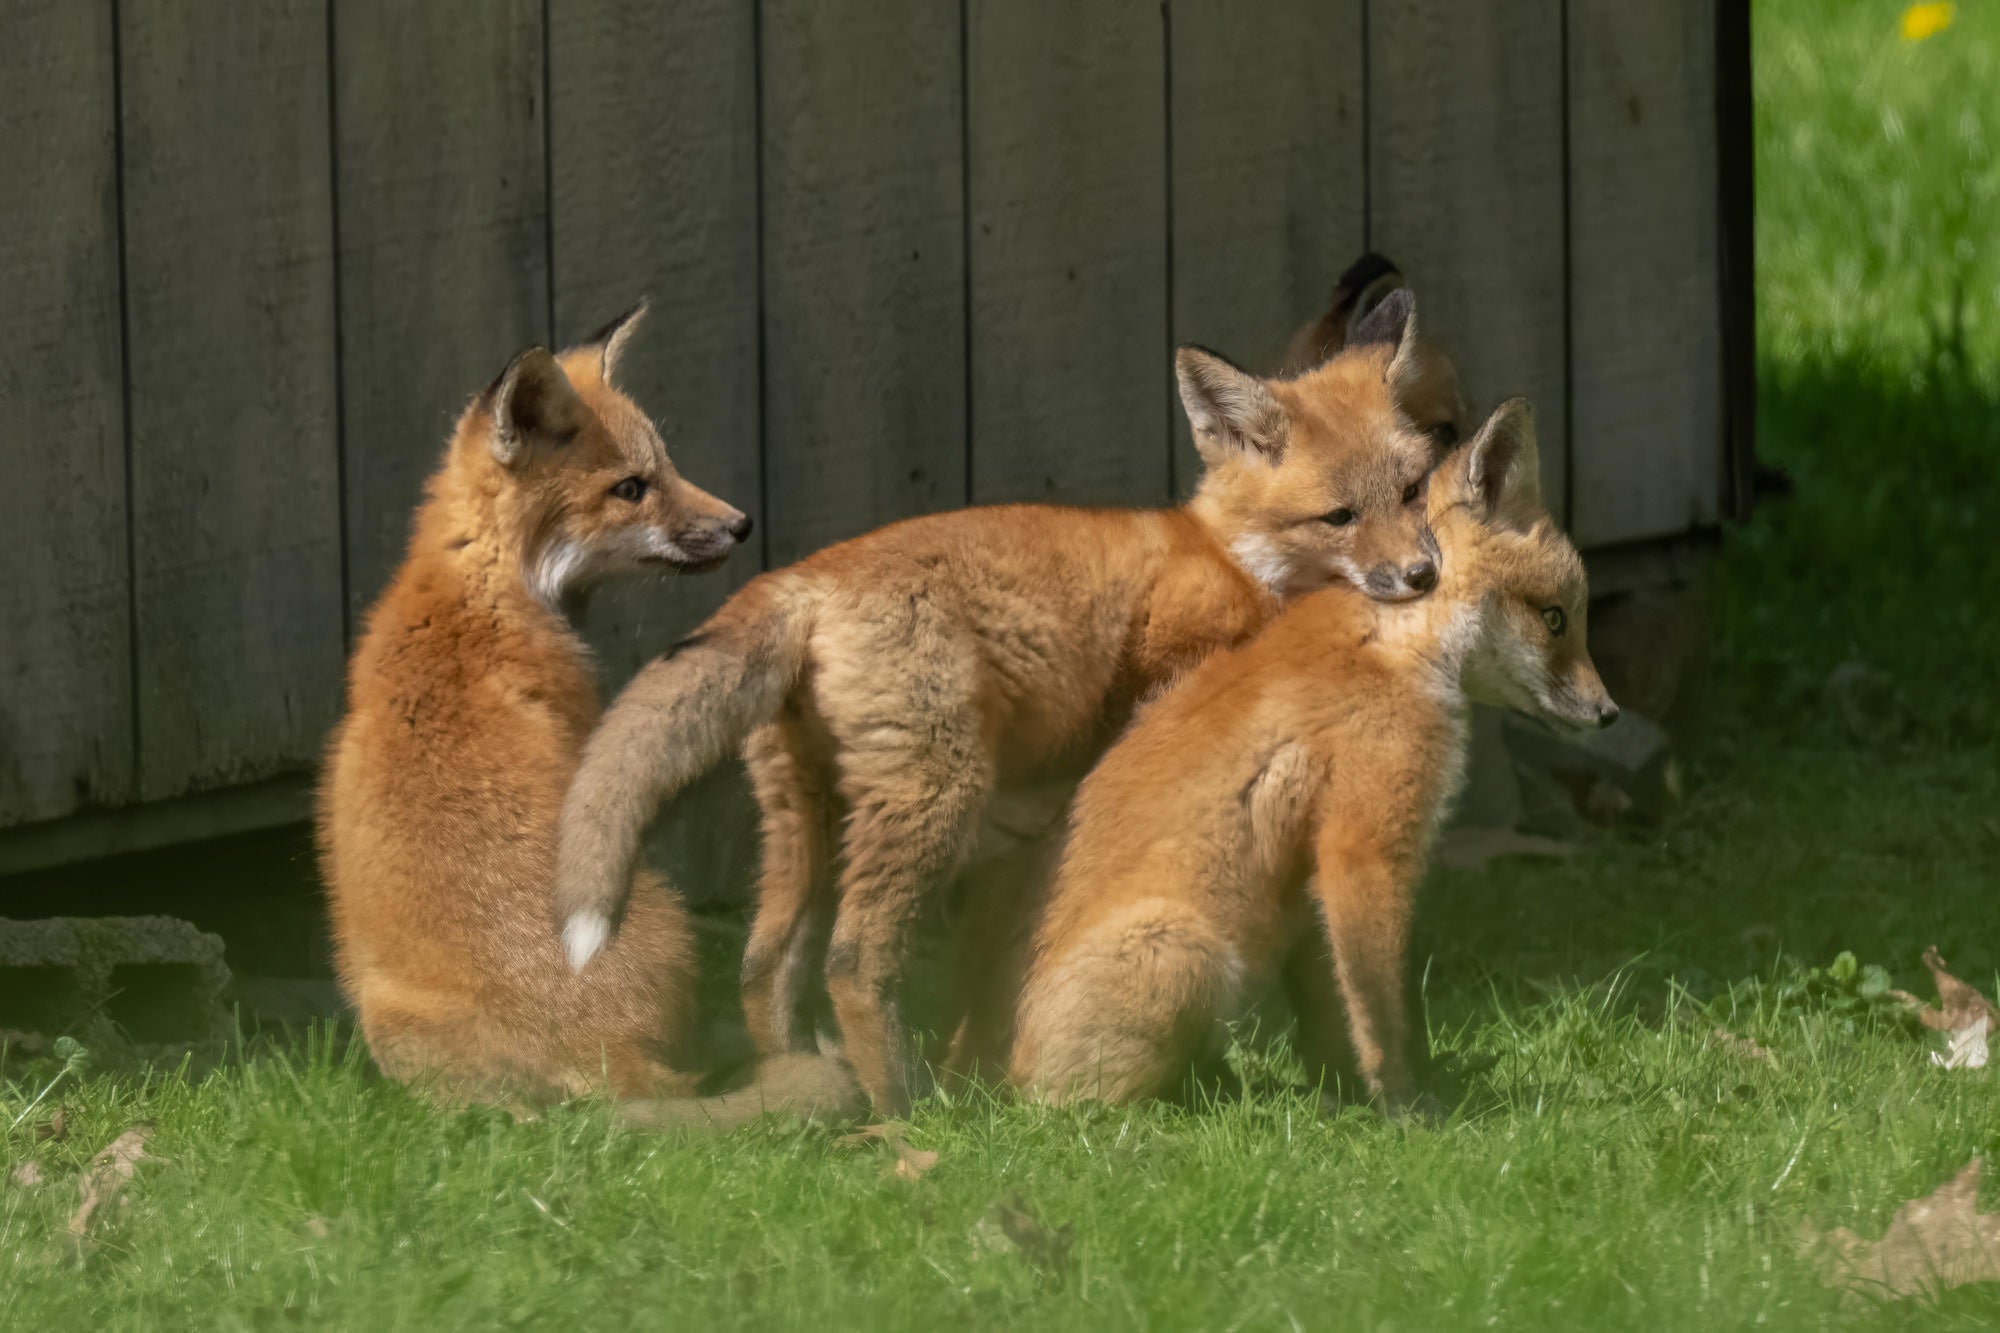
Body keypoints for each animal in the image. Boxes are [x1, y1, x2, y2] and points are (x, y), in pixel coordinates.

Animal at [554, 289, 1451, 1114]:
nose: (1423, 574)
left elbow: (1002, 956)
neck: (1232, 561)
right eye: (1339, 515)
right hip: (933, 798)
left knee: (764, 965)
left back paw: (812, 1084)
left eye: (1413, 490)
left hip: (807, 813)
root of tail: (801, 577)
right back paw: (910, 1109)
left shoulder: (1030, 828)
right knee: (853, 959)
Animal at [997, 397, 1618, 1117]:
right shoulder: (1362, 849)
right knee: (1095, 1112)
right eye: (1554, 619)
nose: (1610, 714)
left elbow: (1336, 1013)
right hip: (1184, 951)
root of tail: (996, 1079)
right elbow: (1382, 1015)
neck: (1398, 636)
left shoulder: (1318, 881)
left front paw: (1353, 1093)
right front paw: (1407, 1110)